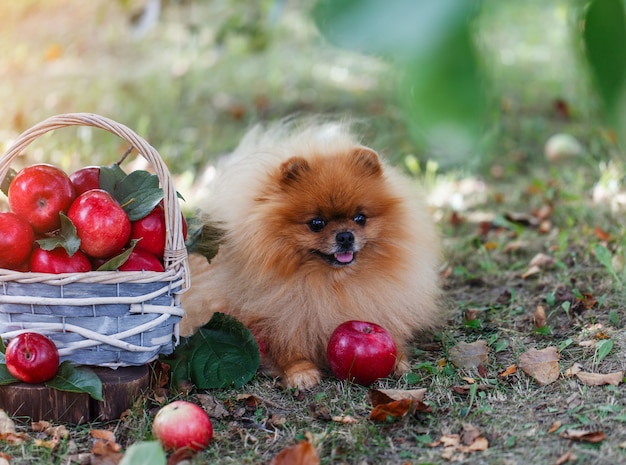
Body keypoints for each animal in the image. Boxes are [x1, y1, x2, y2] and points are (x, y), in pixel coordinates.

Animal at [179, 119, 444, 388]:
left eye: (360, 218)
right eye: (316, 223)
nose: (345, 236)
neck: (329, 282)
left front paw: (398, 361)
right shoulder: (279, 318)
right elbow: (287, 348)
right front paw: (300, 372)